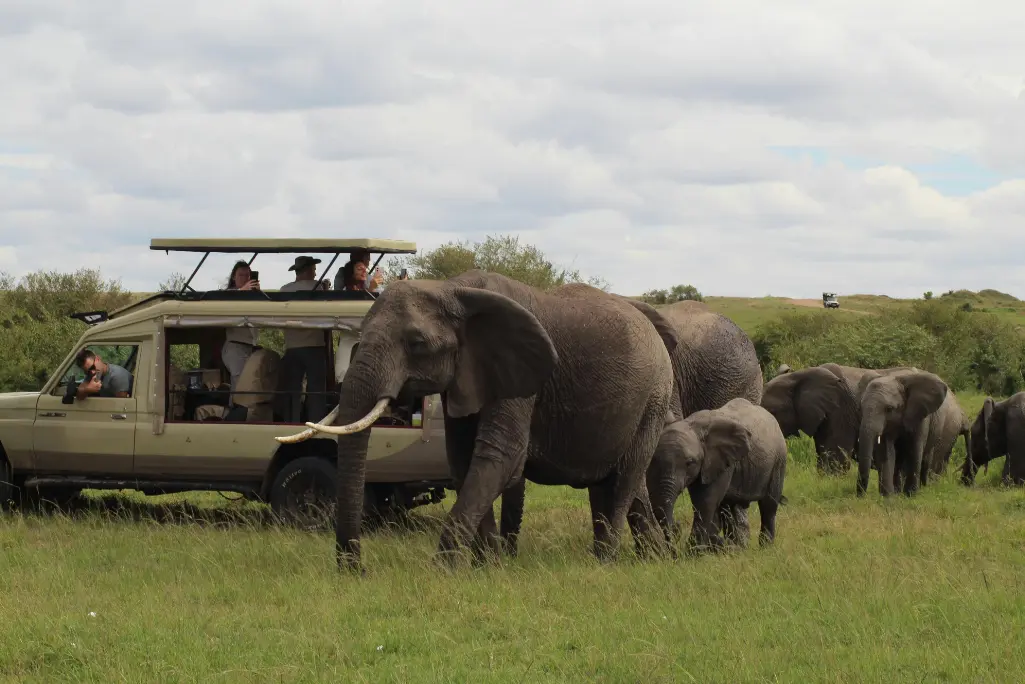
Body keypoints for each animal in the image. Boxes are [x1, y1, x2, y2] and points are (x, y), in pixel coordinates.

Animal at [276, 270, 676, 571]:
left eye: (417, 343)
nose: (355, 570)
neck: (452, 288)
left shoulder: (521, 375)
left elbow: (499, 456)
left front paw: (442, 572)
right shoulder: (468, 374)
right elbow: (462, 458)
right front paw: (488, 567)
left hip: (654, 397)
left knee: (625, 478)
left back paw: (605, 562)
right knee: (616, 481)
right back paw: (653, 559)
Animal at [647, 397, 787, 551]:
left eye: (690, 463)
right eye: (653, 460)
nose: (677, 526)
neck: (693, 425)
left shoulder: (721, 462)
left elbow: (705, 501)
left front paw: (694, 551)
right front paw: (712, 547)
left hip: (778, 461)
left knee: (769, 506)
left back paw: (765, 547)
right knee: (728, 507)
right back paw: (736, 546)